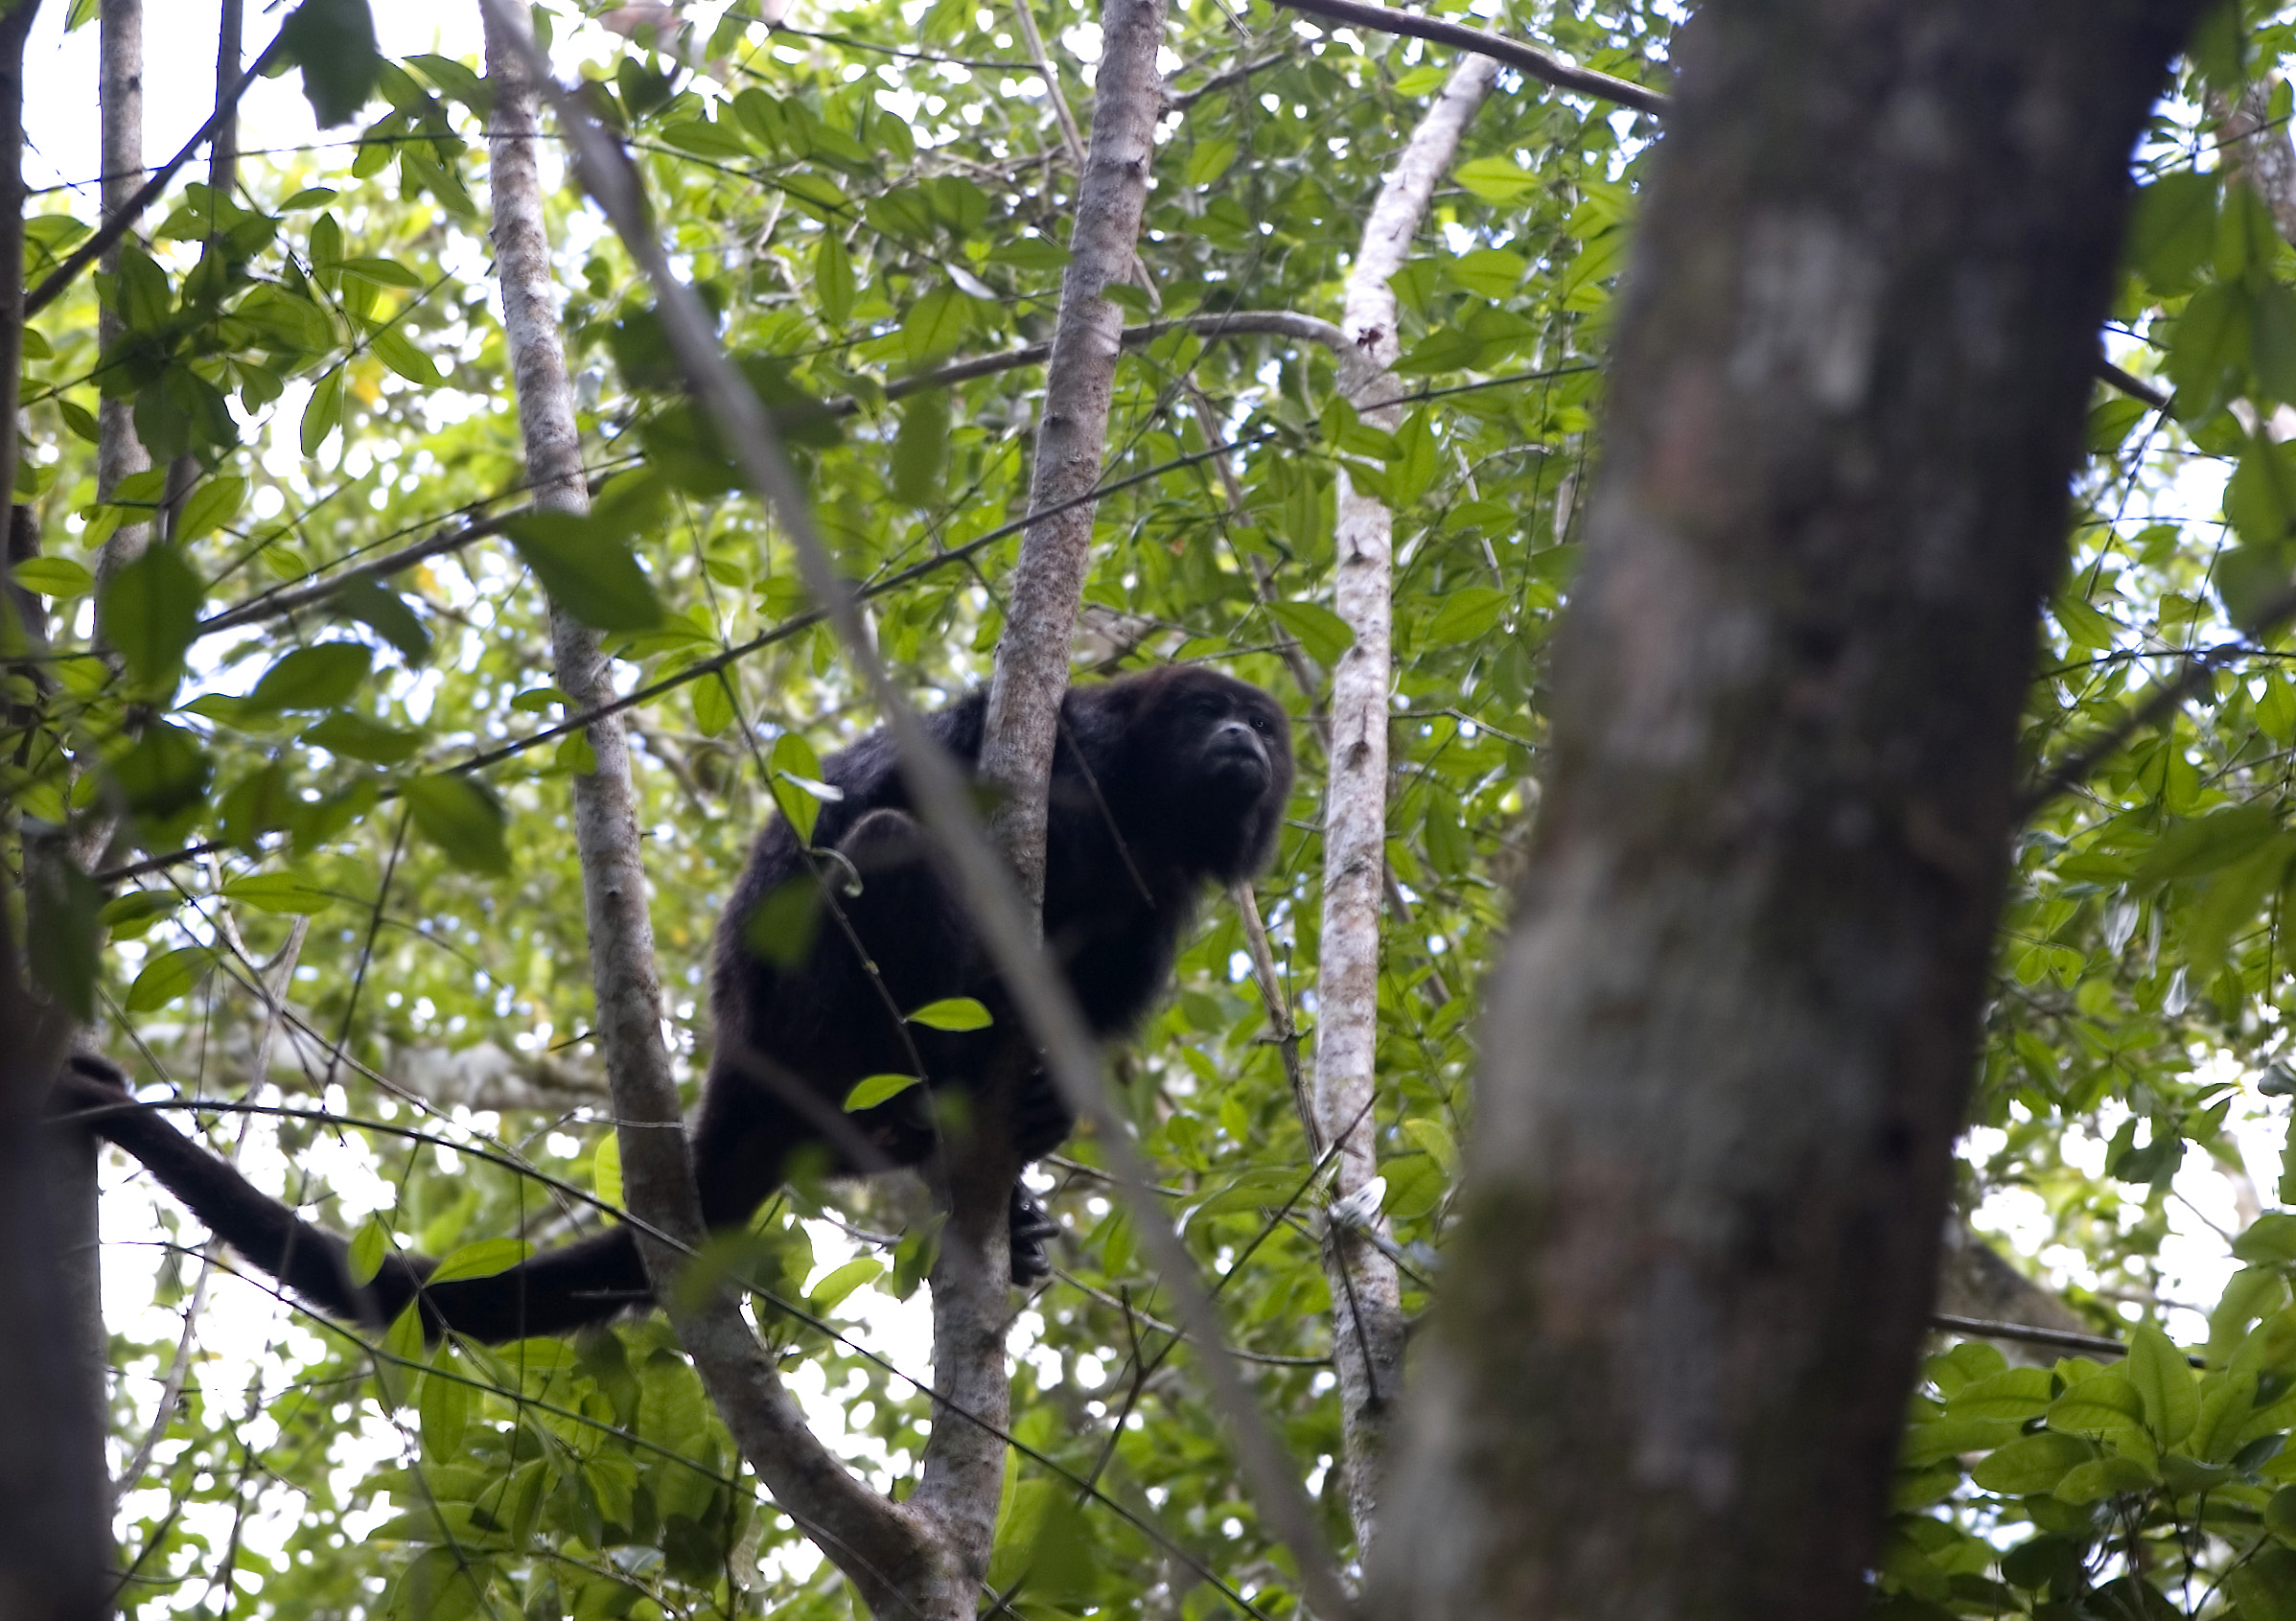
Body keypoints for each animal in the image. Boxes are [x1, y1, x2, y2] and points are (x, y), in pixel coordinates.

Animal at [50, 665, 1294, 1344]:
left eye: (1264, 726)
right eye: (1206, 710)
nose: (1242, 736)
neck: (1136, 794)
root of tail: (740, 1064)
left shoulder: (1167, 879)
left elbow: (1111, 977)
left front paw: (1046, 1104)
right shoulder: (1055, 732)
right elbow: (884, 787)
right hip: (808, 1024)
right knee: (888, 846)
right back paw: (922, 1092)